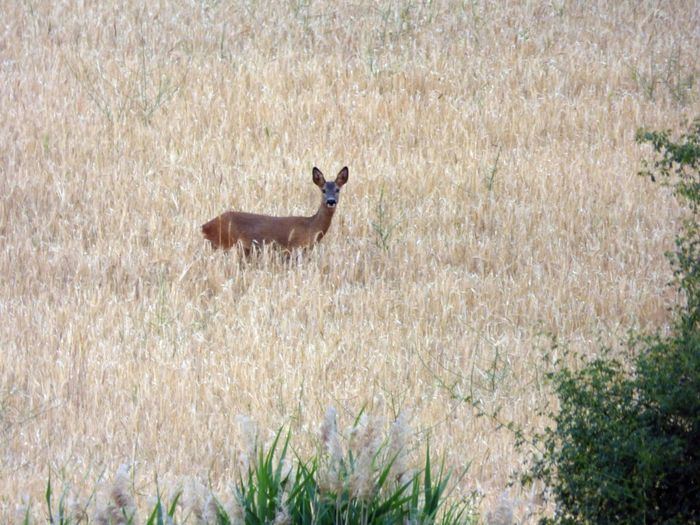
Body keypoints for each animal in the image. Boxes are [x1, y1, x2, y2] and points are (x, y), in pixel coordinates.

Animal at [201, 166, 348, 252]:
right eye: (323, 190)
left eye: (337, 189)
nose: (331, 201)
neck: (312, 227)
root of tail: (204, 227)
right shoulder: (295, 249)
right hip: (225, 243)